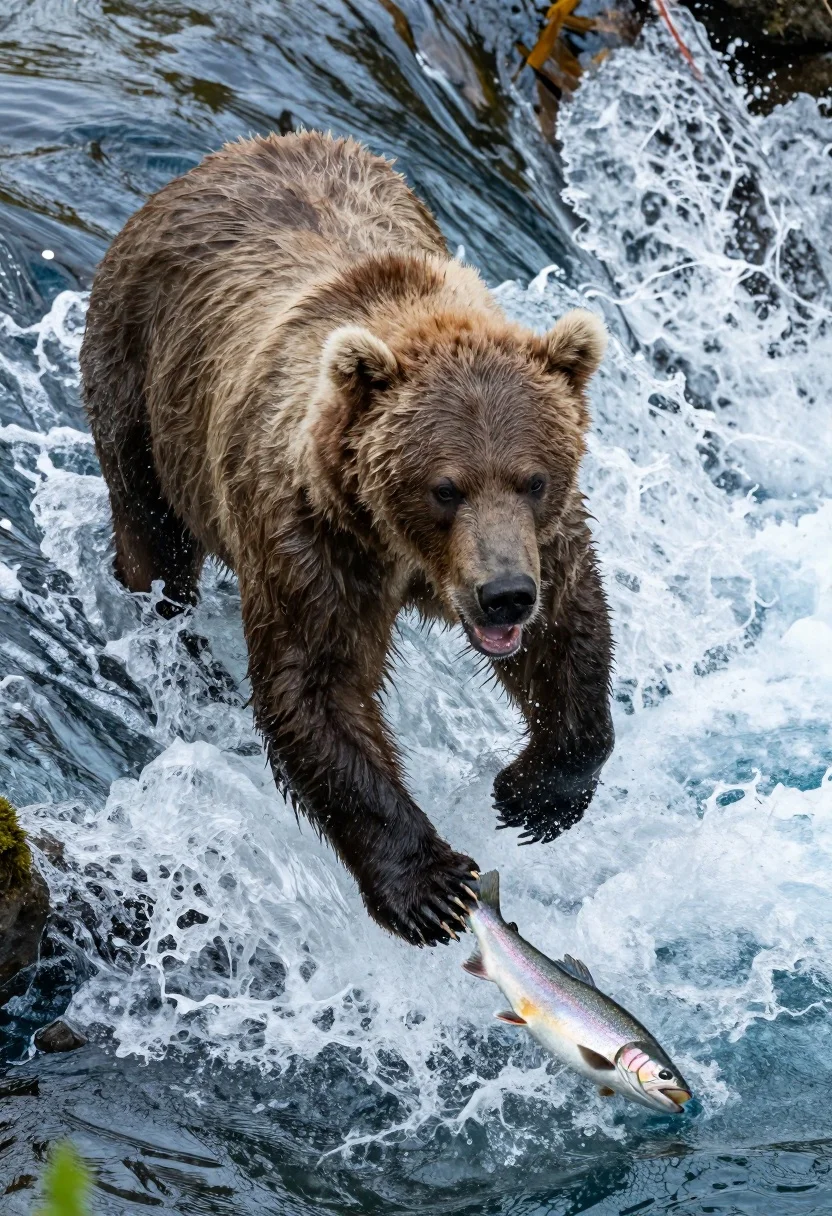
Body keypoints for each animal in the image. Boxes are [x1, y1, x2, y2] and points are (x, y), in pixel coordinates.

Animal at [80, 131, 614, 947]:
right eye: (445, 487)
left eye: (535, 478)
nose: (502, 597)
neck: (405, 554)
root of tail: (221, 156)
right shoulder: (313, 540)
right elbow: (318, 689)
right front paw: (433, 889)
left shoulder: (543, 541)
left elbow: (571, 633)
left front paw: (532, 793)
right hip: (139, 387)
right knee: (153, 543)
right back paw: (176, 650)